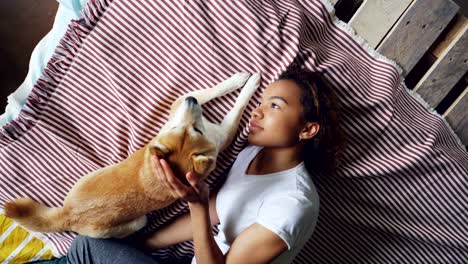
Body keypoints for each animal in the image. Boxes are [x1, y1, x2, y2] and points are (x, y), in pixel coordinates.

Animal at [3, 72, 262, 239]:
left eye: (194, 129)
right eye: (178, 128)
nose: (191, 102)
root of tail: (69, 214)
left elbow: (206, 93)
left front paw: (236, 82)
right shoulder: (218, 129)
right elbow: (228, 102)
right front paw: (246, 82)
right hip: (138, 221)